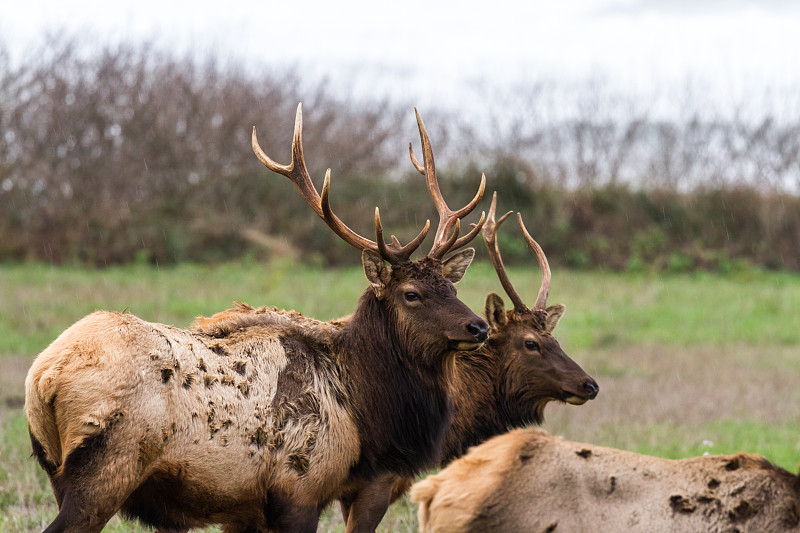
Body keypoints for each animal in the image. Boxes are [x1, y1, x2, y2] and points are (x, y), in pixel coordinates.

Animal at [25, 105, 488, 532]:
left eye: (453, 289)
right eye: (412, 295)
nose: (479, 326)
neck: (365, 411)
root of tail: (45, 377)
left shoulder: (245, 507)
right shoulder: (301, 484)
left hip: (57, 471)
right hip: (106, 467)